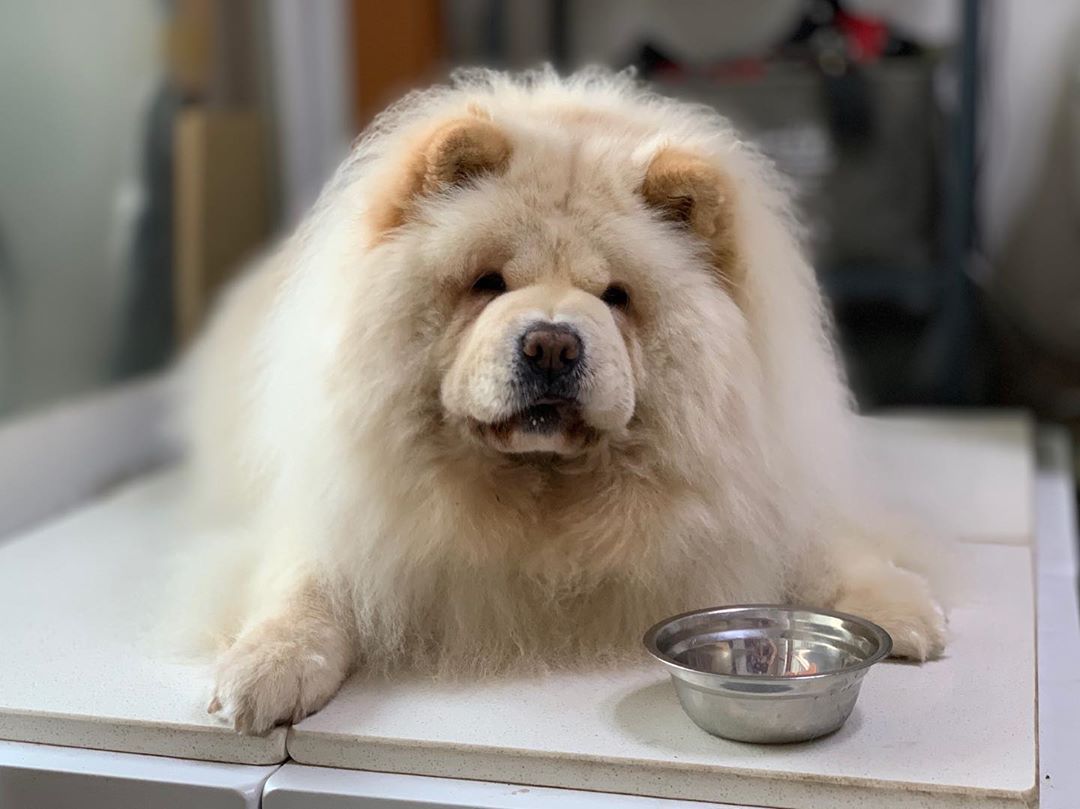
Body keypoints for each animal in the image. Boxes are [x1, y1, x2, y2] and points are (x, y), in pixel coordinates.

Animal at [183, 67, 946, 730]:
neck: (549, 499)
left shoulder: (768, 475)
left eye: (616, 296)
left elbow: (826, 544)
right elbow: (306, 583)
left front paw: (899, 608)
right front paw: (266, 667)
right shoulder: (341, 498)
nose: (551, 344)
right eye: (488, 282)